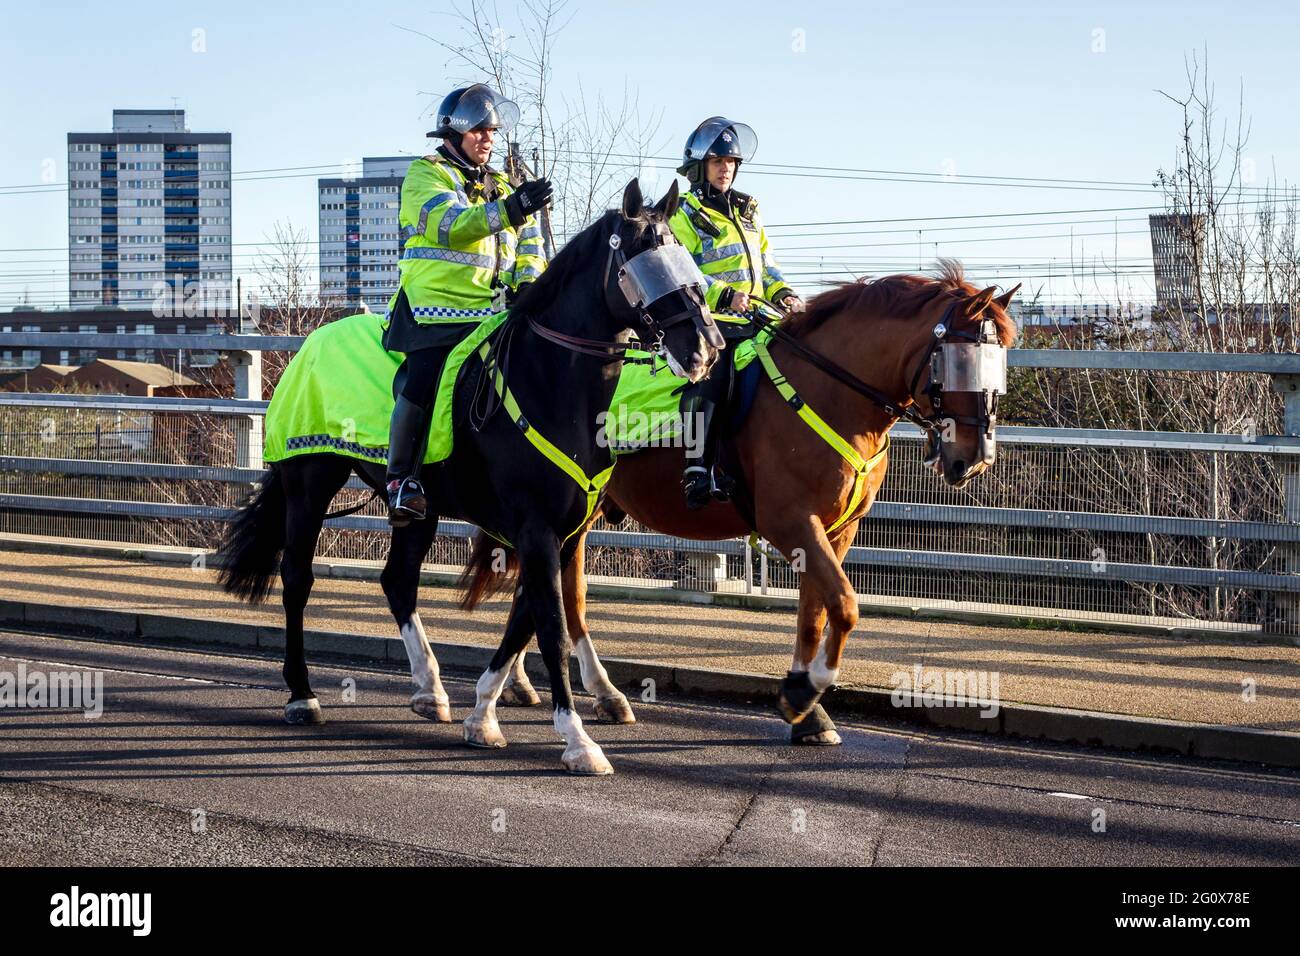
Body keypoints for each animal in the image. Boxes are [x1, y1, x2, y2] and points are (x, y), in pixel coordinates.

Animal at [215, 180, 722, 780]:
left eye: (682, 252)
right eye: (639, 257)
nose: (705, 347)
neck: (553, 383)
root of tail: (308, 346)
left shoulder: (562, 530)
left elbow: (530, 616)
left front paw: (483, 714)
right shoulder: (535, 527)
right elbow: (551, 623)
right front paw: (577, 739)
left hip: (419, 510)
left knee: (398, 581)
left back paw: (430, 689)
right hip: (309, 485)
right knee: (297, 580)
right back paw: (303, 695)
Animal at [462, 260, 1019, 764]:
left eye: (1001, 362)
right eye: (961, 361)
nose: (975, 458)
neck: (826, 389)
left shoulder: (836, 530)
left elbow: (815, 614)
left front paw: (807, 709)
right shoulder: (791, 521)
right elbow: (844, 605)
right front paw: (802, 693)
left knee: (558, 595)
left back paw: (575, 691)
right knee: (554, 594)